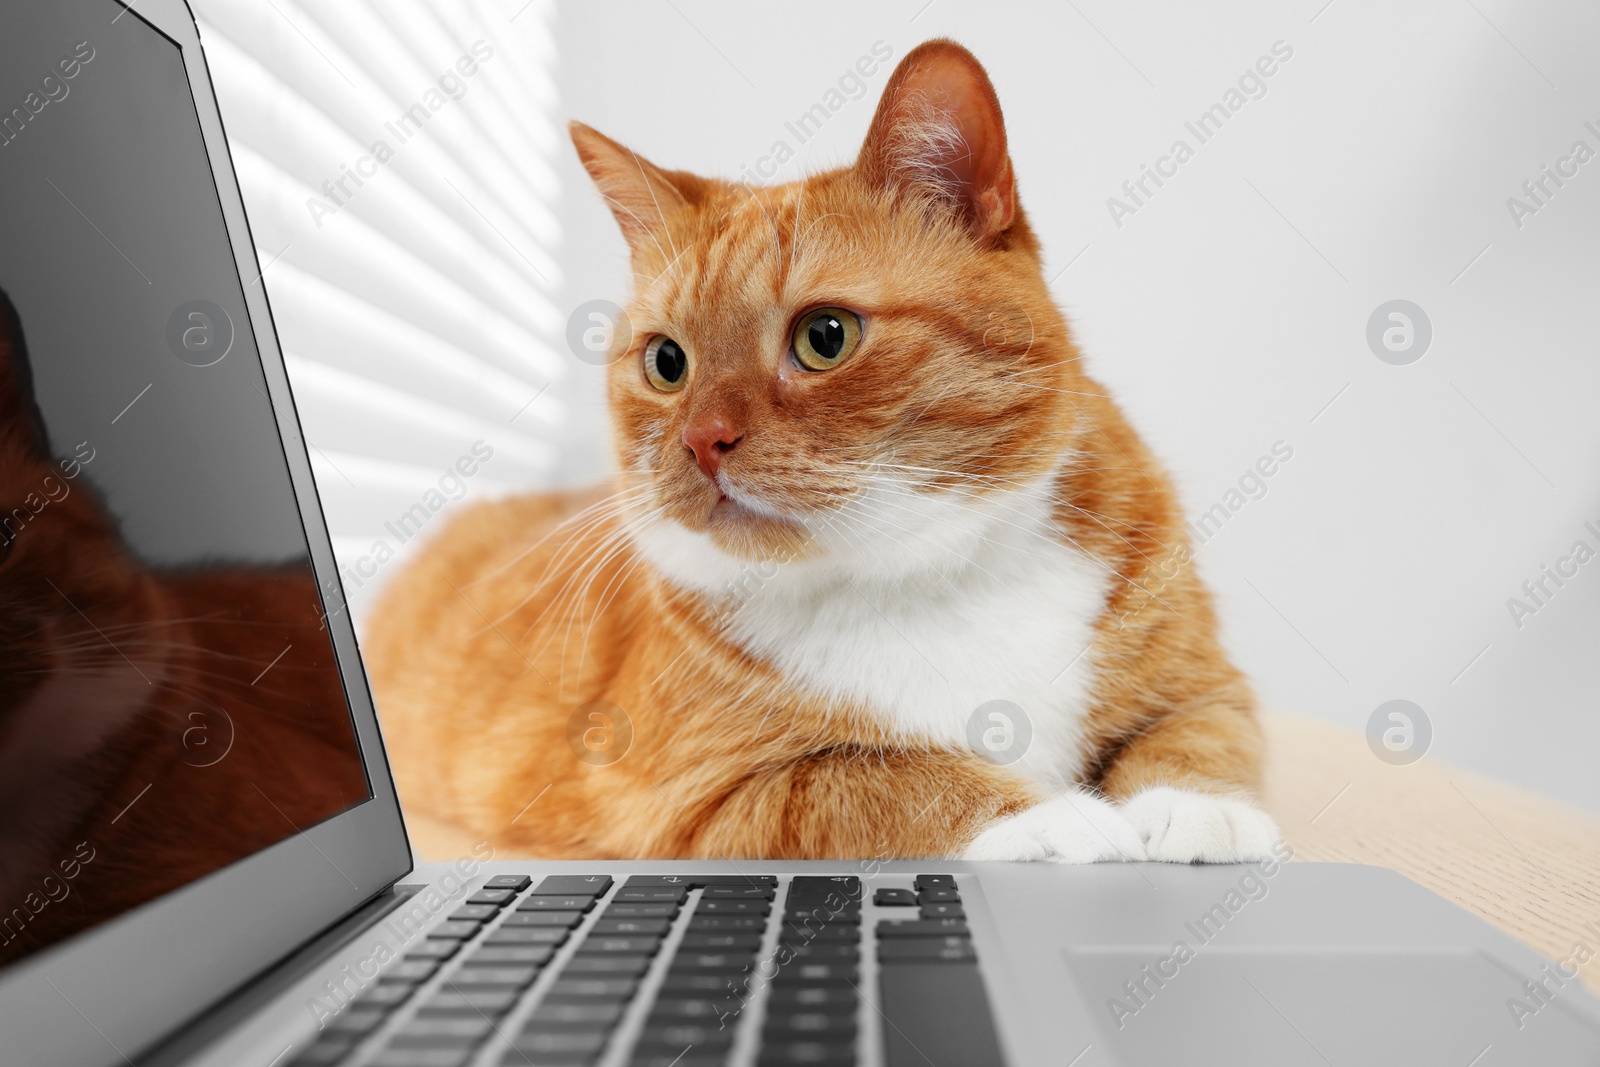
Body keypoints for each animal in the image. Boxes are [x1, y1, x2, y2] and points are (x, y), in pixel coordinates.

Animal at [368, 39, 1280, 870]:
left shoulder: (1204, 679)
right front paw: (1050, 818)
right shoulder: (714, 799)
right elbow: (889, 780)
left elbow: (1197, 730)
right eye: (667, 362)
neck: (923, 573)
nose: (701, 439)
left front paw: (1198, 807)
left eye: (825, 337)